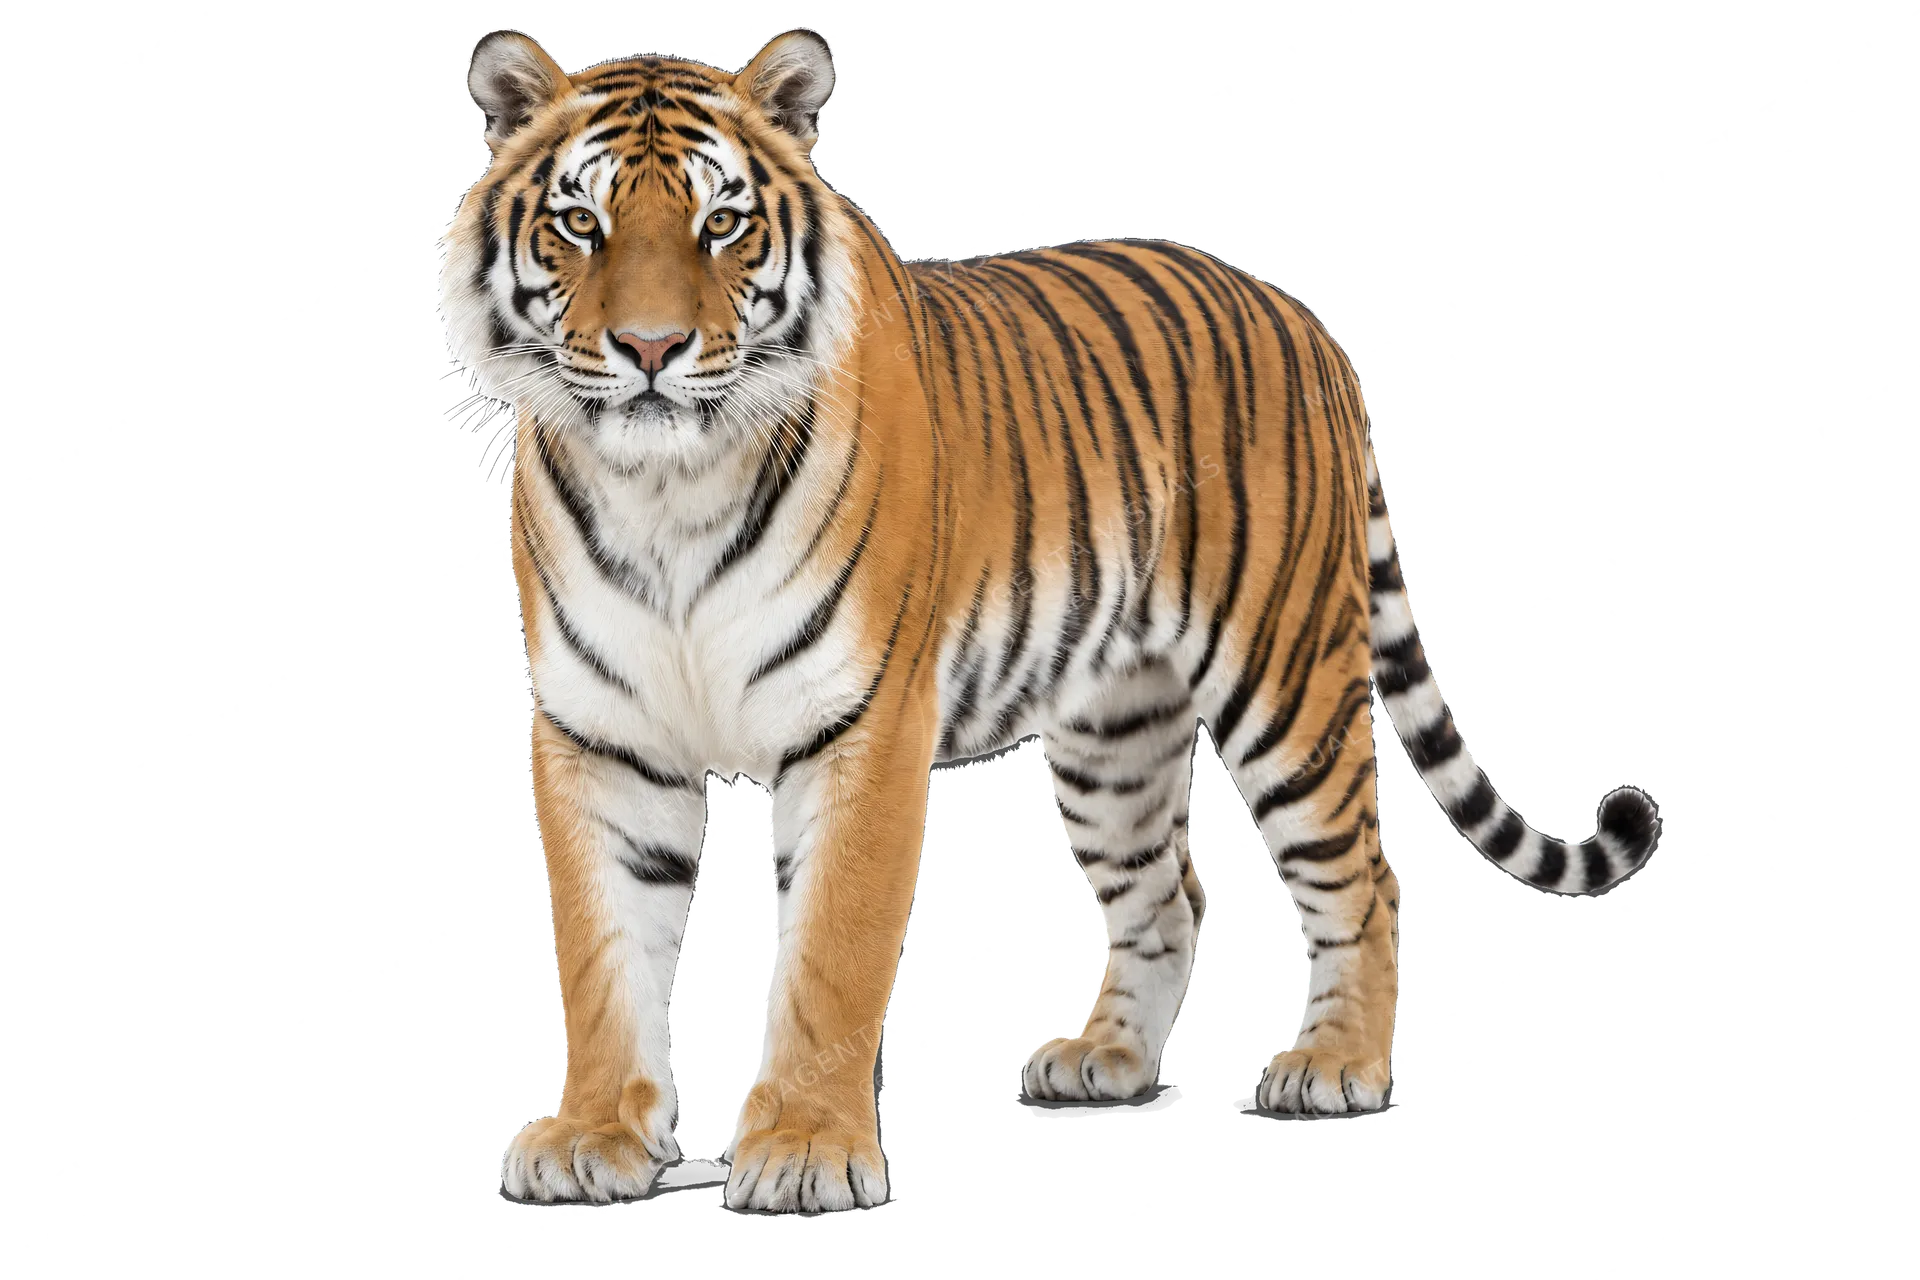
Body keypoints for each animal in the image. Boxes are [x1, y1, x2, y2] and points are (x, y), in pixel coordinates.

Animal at [439, 28, 1662, 1213]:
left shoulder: (863, 724)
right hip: (1112, 731)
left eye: (722, 223)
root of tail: (1302, 316)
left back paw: (1339, 1065)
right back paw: (1105, 1059)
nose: (651, 350)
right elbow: (603, 957)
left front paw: (806, 1151)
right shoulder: (601, 733)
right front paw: (594, 1139)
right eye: (580, 223)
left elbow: (831, 951)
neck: (668, 491)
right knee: (1171, 890)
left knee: (1362, 872)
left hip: (1287, 677)